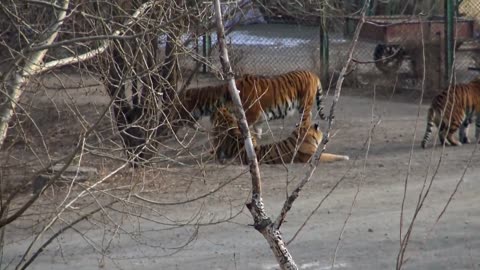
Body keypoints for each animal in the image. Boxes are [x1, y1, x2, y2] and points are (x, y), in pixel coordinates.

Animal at [161, 69, 326, 139]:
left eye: (177, 111)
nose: (168, 128)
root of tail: (313, 74)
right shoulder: (257, 117)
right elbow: (257, 129)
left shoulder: (251, 114)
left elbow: (244, 129)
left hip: (304, 104)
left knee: (307, 118)